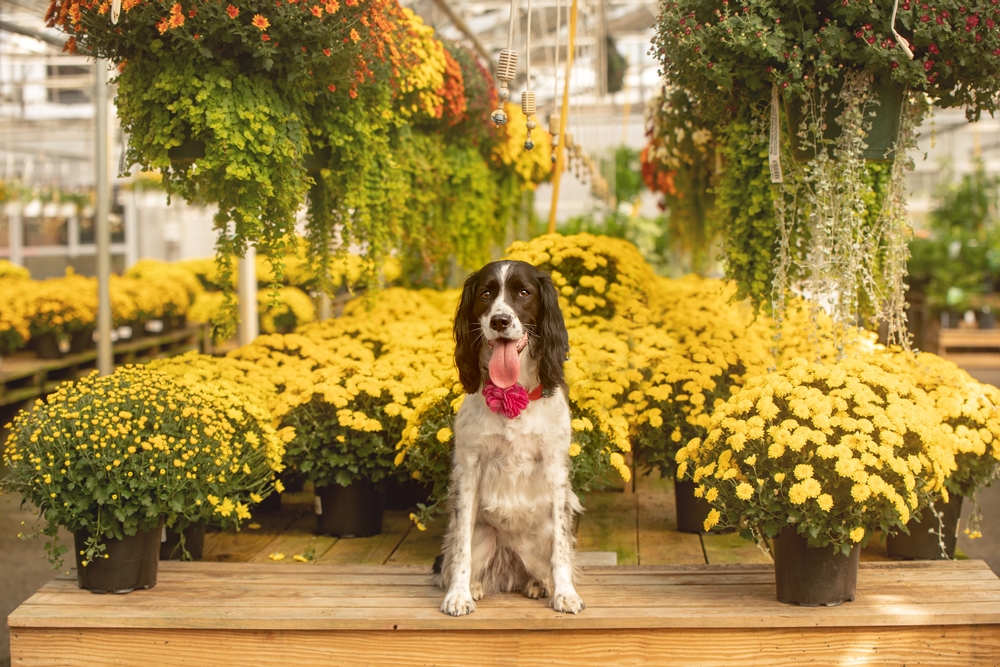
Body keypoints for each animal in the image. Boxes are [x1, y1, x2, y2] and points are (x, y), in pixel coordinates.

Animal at [434, 258, 584, 620]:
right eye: (486, 294)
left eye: (524, 293)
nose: (500, 321)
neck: (510, 394)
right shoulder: (469, 469)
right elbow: (460, 545)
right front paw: (458, 595)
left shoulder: (555, 470)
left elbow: (562, 547)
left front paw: (565, 594)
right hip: (485, 534)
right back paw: (475, 585)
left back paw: (539, 585)